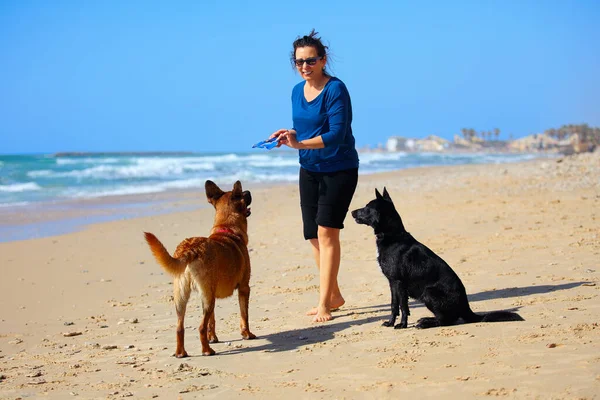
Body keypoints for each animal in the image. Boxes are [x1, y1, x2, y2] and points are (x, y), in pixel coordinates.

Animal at [146, 180, 258, 356]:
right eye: (242, 194)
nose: (248, 191)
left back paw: (181, 353)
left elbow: (212, 321)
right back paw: (207, 350)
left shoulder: (210, 293)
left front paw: (213, 337)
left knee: (180, 327)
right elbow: (244, 315)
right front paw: (247, 334)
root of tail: (190, 249)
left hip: (183, 297)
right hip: (207, 298)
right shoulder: (244, 288)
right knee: (200, 327)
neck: (226, 227)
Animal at [350, 188, 524, 328]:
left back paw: (426, 323)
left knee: (446, 321)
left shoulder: (399, 282)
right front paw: (390, 323)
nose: (351, 212)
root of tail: (466, 307)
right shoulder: (392, 283)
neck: (392, 235)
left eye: (366, 208)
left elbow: (403, 307)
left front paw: (402, 325)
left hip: (428, 292)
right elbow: (394, 305)